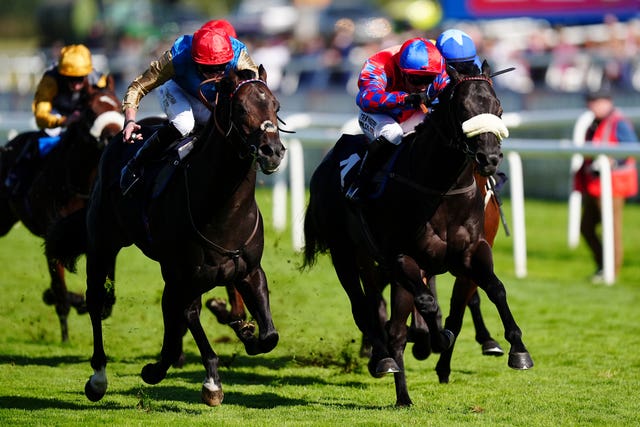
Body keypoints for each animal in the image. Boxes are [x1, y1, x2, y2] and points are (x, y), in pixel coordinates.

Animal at [0, 77, 122, 344]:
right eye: (90, 111)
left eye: (118, 106)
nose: (113, 137)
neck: (80, 184)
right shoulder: (51, 242)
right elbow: (61, 292)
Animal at [64, 67, 282, 408]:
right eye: (241, 109)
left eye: (276, 106)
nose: (272, 151)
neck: (223, 209)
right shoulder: (185, 274)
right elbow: (187, 315)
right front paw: (210, 381)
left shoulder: (248, 270)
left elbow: (268, 336)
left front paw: (246, 332)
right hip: (104, 244)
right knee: (97, 299)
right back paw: (98, 377)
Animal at [302, 61, 532, 408]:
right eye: (462, 108)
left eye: (499, 108)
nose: (490, 159)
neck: (441, 189)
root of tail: (328, 161)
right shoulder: (401, 257)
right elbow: (428, 305)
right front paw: (434, 340)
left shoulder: (471, 252)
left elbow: (495, 289)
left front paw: (517, 350)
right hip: (344, 253)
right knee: (364, 309)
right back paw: (387, 364)